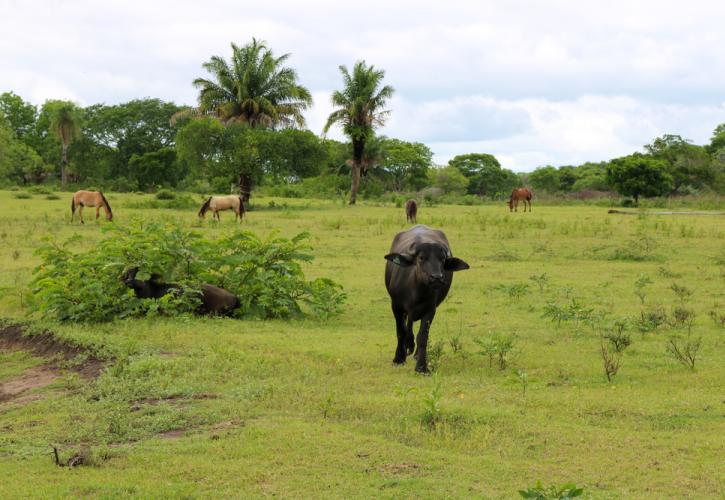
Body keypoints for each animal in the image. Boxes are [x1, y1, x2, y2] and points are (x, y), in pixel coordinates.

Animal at [384, 225, 470, 374]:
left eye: (442, 259)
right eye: (421, 258)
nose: (437, 277)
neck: (416, 293)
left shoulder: (430, 309)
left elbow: (423, 336)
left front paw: (421, 366)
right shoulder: (396, 306)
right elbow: (401, 331)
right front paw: (398, 358)